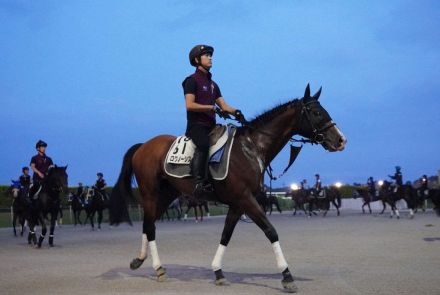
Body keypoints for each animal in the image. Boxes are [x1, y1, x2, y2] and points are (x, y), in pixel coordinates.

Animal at [108, 84, 346, 294]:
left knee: (149, 225)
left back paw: (139, 260)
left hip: (167, 195)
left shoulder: (238, 204)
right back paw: (158, 269)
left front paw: (218, 272)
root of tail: (143, 146)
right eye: (316, 112)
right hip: (151, 194)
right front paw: (287, 276)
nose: (341, 140)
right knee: (150, 226)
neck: (251, 148)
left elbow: (226, 235)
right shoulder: (246, 199)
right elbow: (271, 231)